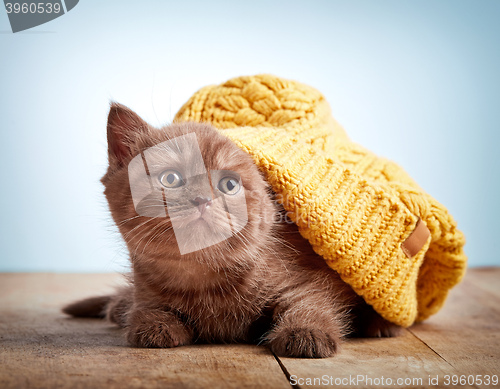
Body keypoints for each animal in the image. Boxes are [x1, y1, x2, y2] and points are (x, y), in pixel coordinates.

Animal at [62, 102, 400, 354]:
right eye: (170, 178)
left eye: (229, 185)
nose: (201, 199)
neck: (202, 280)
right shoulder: (147, 285)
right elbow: (148, 308)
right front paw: (152, 323)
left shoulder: (315, 276)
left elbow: (311, 302)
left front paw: (305, 332)